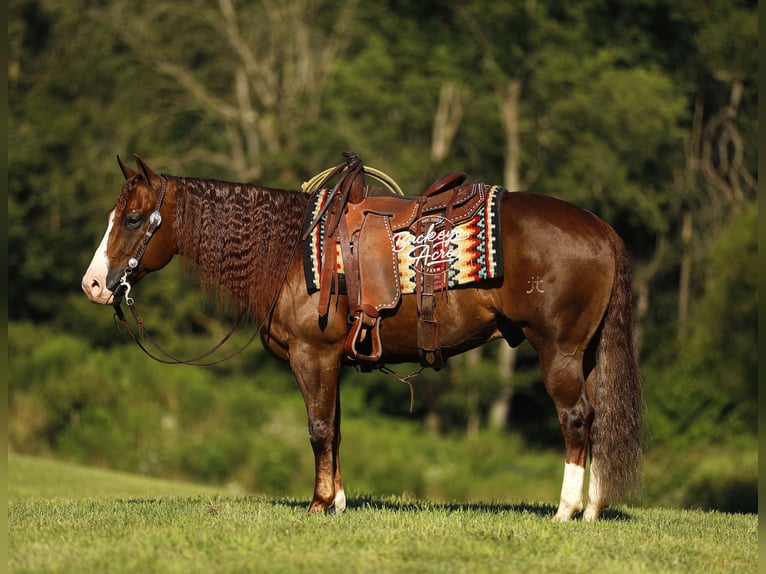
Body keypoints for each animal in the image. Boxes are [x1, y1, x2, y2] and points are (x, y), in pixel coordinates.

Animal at [81, 154, 642, 521]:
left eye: (133, 218)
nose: (93, 284)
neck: (291, 255)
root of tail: (602, 230)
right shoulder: (333, 361)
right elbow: (336, 429)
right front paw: (339, 501)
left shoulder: (311, 356)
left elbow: (317, 430)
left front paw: (317, 504)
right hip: (586, 354)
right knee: (596, 419)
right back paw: (593, 510)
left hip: (559, 351)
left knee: (576, 419)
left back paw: (566, 511)